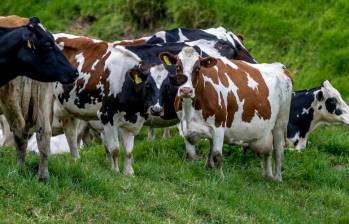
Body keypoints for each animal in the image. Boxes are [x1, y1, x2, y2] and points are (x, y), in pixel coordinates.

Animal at [160, 46, 290, 180]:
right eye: (178, 67)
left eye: (197, 68)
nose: (186, 90)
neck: (190, 111)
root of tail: (279, 66)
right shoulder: (185, 126)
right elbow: (191, 155)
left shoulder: (219, 125)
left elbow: (217, 155)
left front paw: (220, 177)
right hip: (267, 130)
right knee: (268, 152)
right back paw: (268, 175)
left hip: (281, 121)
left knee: (278, 150)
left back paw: (277, 178)